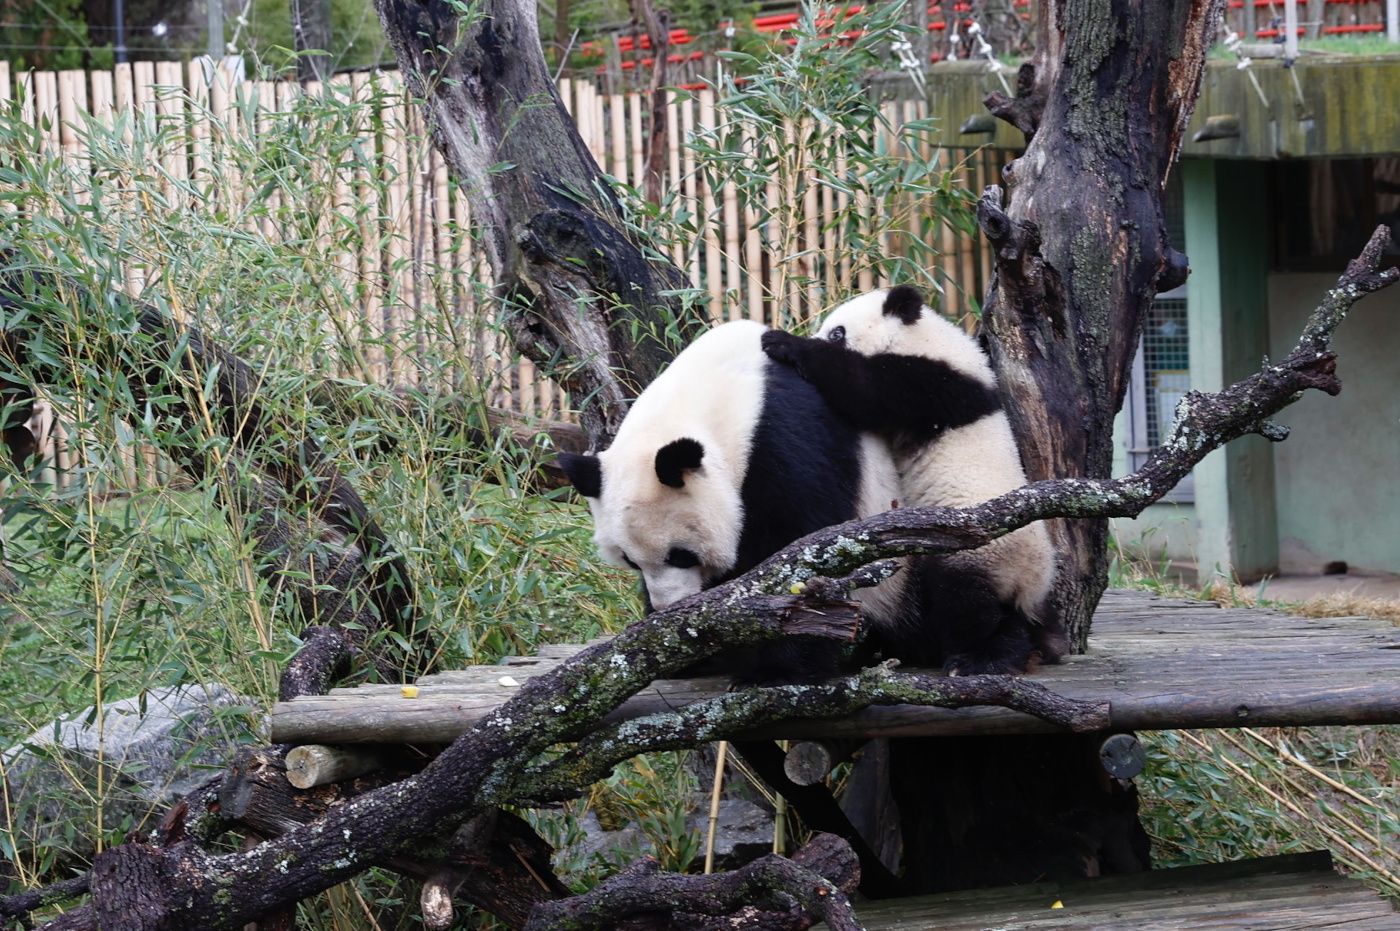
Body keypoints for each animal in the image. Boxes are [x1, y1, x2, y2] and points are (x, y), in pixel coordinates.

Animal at [557, 319, 907, 683]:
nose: (668, 606)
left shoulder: (787, 442)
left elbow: (804, 548)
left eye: (680, 555)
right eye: (631, 561)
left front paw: (776, 671)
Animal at [761, 285, 1064, 674]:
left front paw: (782, 342)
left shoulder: (932, 385)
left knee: (966, 602)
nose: (820, 334)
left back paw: (978, 659)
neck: (926, 338)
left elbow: (864, 389)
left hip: (979, 549)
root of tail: (1030, 584)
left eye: (837, 333)